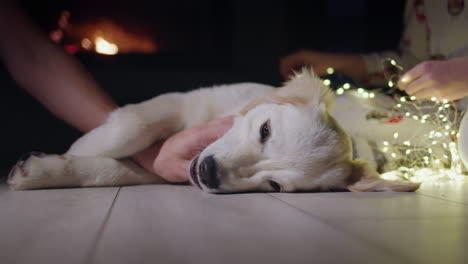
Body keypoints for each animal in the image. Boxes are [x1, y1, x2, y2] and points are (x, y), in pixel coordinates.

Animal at [9, 69, 422, 193]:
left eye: (274, 186)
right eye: (264, 130)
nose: (207, 173)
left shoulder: (165, 167)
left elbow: (110, 171)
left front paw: (44, 170)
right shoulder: (187, 100)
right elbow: (130, 126)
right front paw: (82, 146)